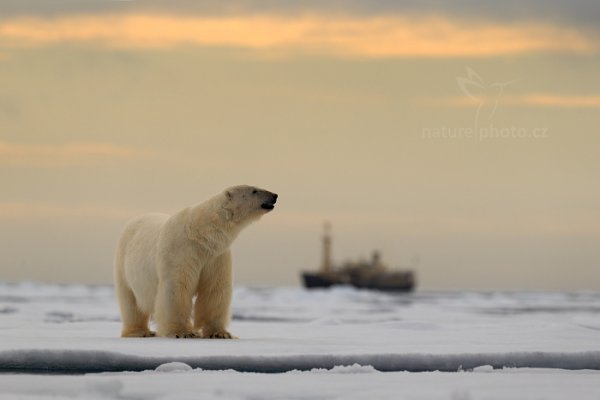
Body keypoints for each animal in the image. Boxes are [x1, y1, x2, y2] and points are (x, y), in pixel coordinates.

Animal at [113, 184, 278, 338]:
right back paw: (140, 331)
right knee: (130, 302)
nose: (275, 195)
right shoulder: (181, 251)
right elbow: (177, 287)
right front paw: (183, 332)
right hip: (123, 263)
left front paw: (220, 333)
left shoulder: (216, 255)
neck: (201, 234)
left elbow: (215, 289)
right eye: (254, 190)